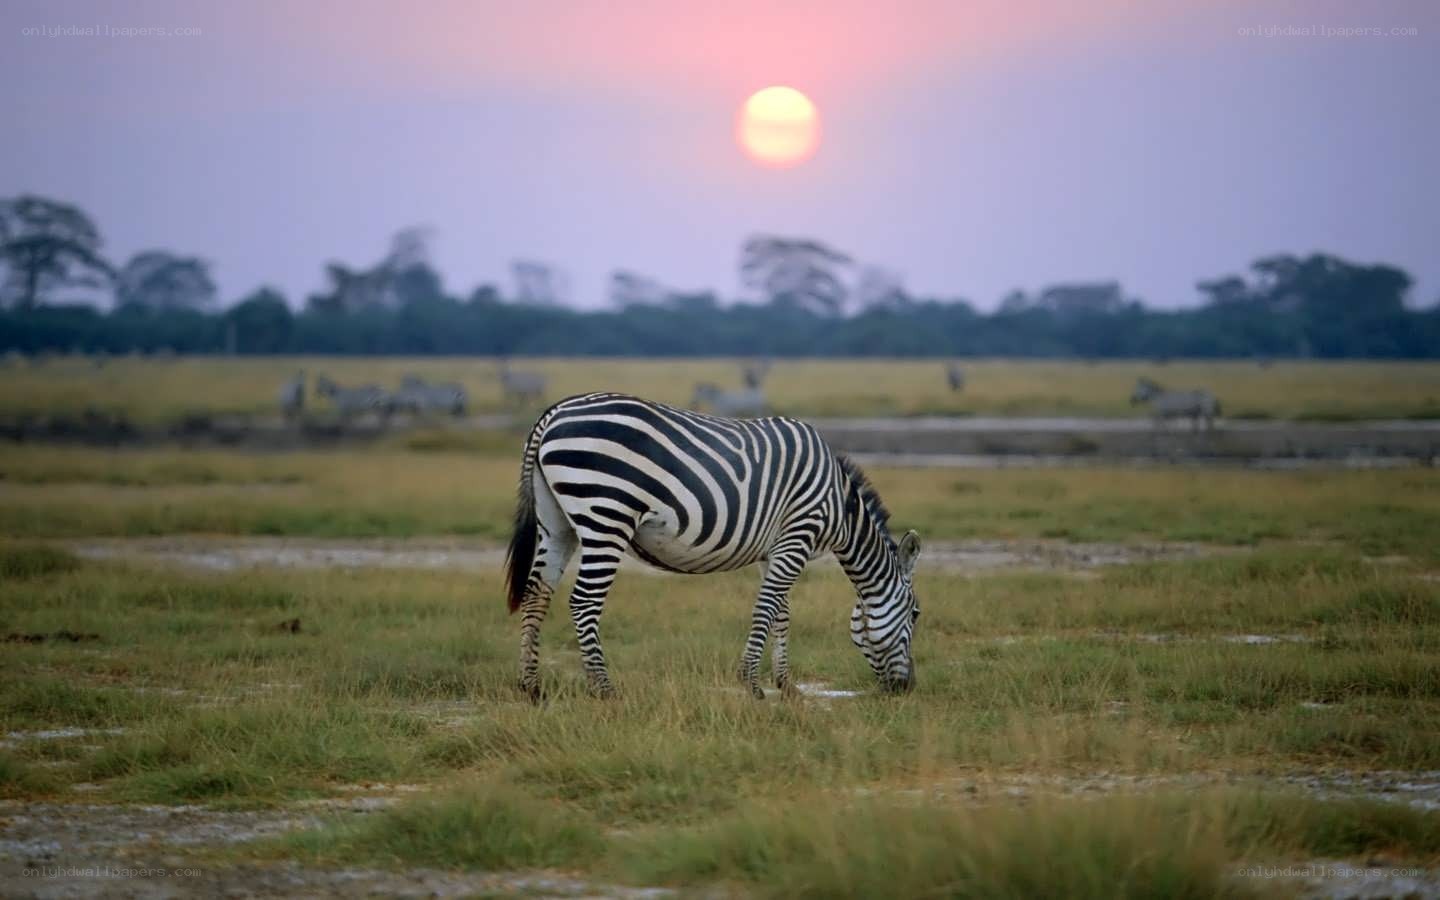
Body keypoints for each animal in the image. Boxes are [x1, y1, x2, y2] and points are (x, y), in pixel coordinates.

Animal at [505, 392, 923, 701]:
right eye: (916, 614)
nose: (907, 689)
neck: (839, 506)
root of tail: (554, 412)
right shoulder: (798, 535)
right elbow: (766, 609)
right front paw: (752, 684)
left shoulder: (777, 548)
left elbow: (781, 612)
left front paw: (787, 686)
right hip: (607, 514)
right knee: (584, 602)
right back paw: (605, 690)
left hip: (557, 522)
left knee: (537, 593)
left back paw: (531, 686)